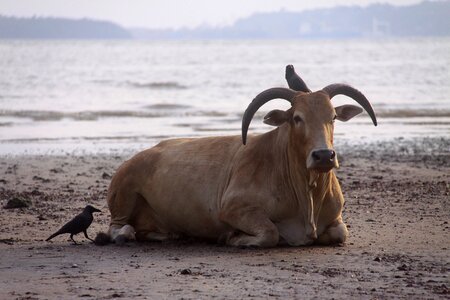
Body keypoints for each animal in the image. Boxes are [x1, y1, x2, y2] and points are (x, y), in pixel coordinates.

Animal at [96, 68, 378, 248]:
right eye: (297, 118)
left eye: (333, 116)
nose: (323, 156)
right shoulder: (233, 208)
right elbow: (270, 233)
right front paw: (232, 237)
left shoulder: (336, 220)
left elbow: (340, 233)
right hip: (123, 195)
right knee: (117, 227)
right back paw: (125, 235)